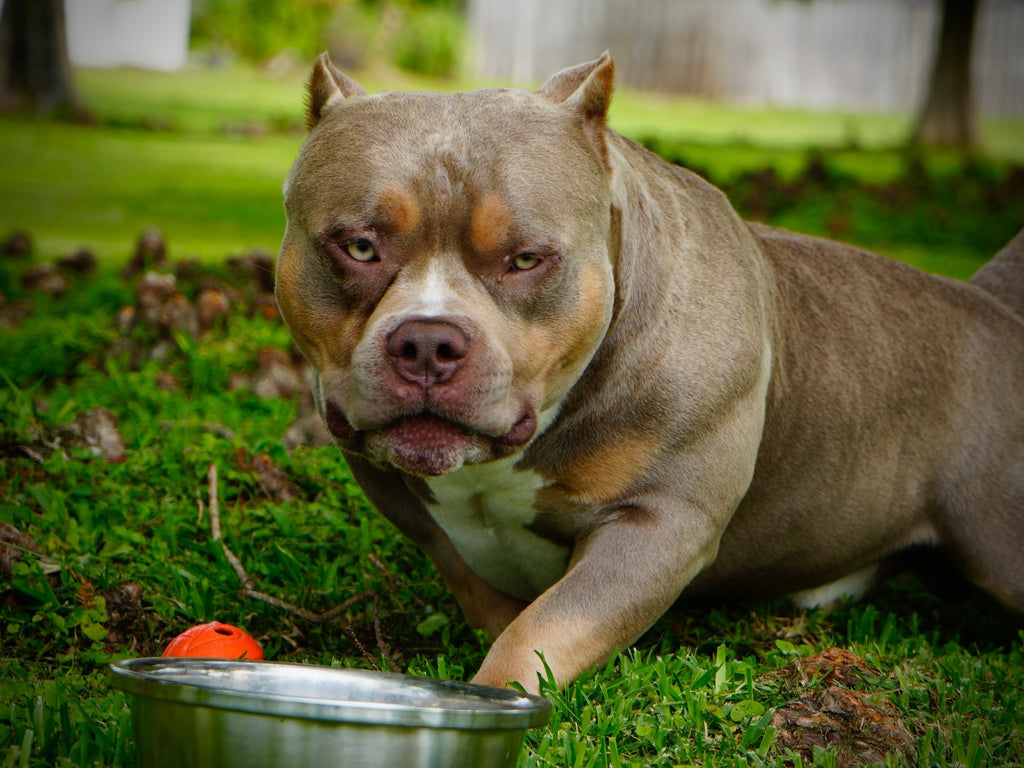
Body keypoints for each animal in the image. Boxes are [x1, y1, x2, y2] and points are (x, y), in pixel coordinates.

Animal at [276, 51, 1024, 696]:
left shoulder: (658, 523)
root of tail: (992, 309)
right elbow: (498, 607)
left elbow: (542, 628)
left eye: (525, 259)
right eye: (360, 247)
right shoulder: (423, 520)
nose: (428, 343)